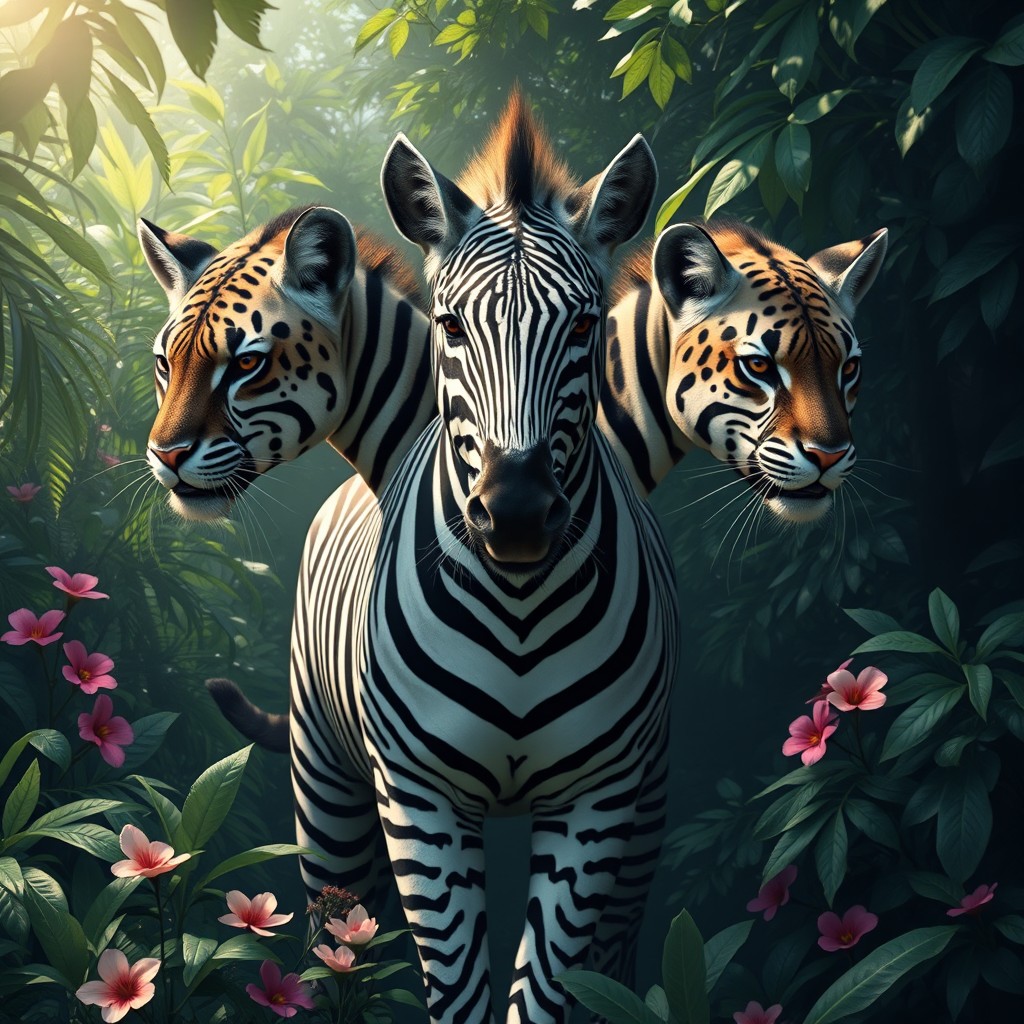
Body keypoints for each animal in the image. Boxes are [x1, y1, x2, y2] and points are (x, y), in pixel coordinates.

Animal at [289, 93, 677, 1023]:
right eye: (453, 325)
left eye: (584, 326)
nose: (519, 514)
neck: (519, 608)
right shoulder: (419, 803)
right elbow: (458, 991)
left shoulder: (597, 805)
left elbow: (543, 994)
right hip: (326, 791)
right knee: (334, 951)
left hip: (648, 809)